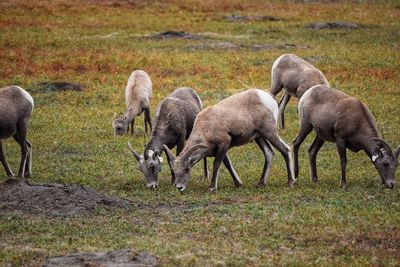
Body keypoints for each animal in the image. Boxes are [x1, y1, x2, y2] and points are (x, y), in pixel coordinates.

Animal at [164, 89, 296, 192]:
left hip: (269, 132)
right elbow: (227, 164)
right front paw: (239, 184)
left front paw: (212, 187)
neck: (206, 127)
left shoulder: (224, 143)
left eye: (187, 169)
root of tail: (267, 98)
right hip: (260, 137)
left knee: (285, 150)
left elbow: (217, 164)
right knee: (269, 153)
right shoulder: (221, 149)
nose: (179, 187)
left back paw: (290, 182)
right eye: (174, 171)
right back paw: (261, 183)